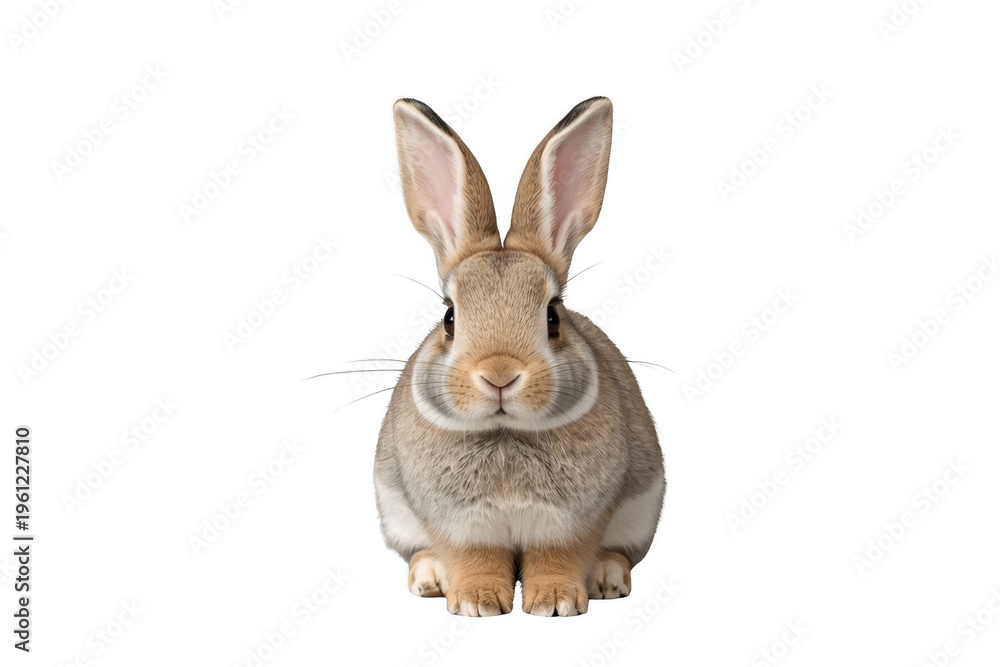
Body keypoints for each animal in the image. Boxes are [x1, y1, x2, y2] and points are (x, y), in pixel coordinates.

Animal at [374, 96, 665, 617]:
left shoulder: (572, 524)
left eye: (553, 316)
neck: (505, 433)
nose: (500, 376)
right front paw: (477, 603)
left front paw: (555, 603)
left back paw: (609, 578)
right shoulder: (459, 527)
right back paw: (428, 578)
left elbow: (559, 559)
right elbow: (474, 559)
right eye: (449, 317)